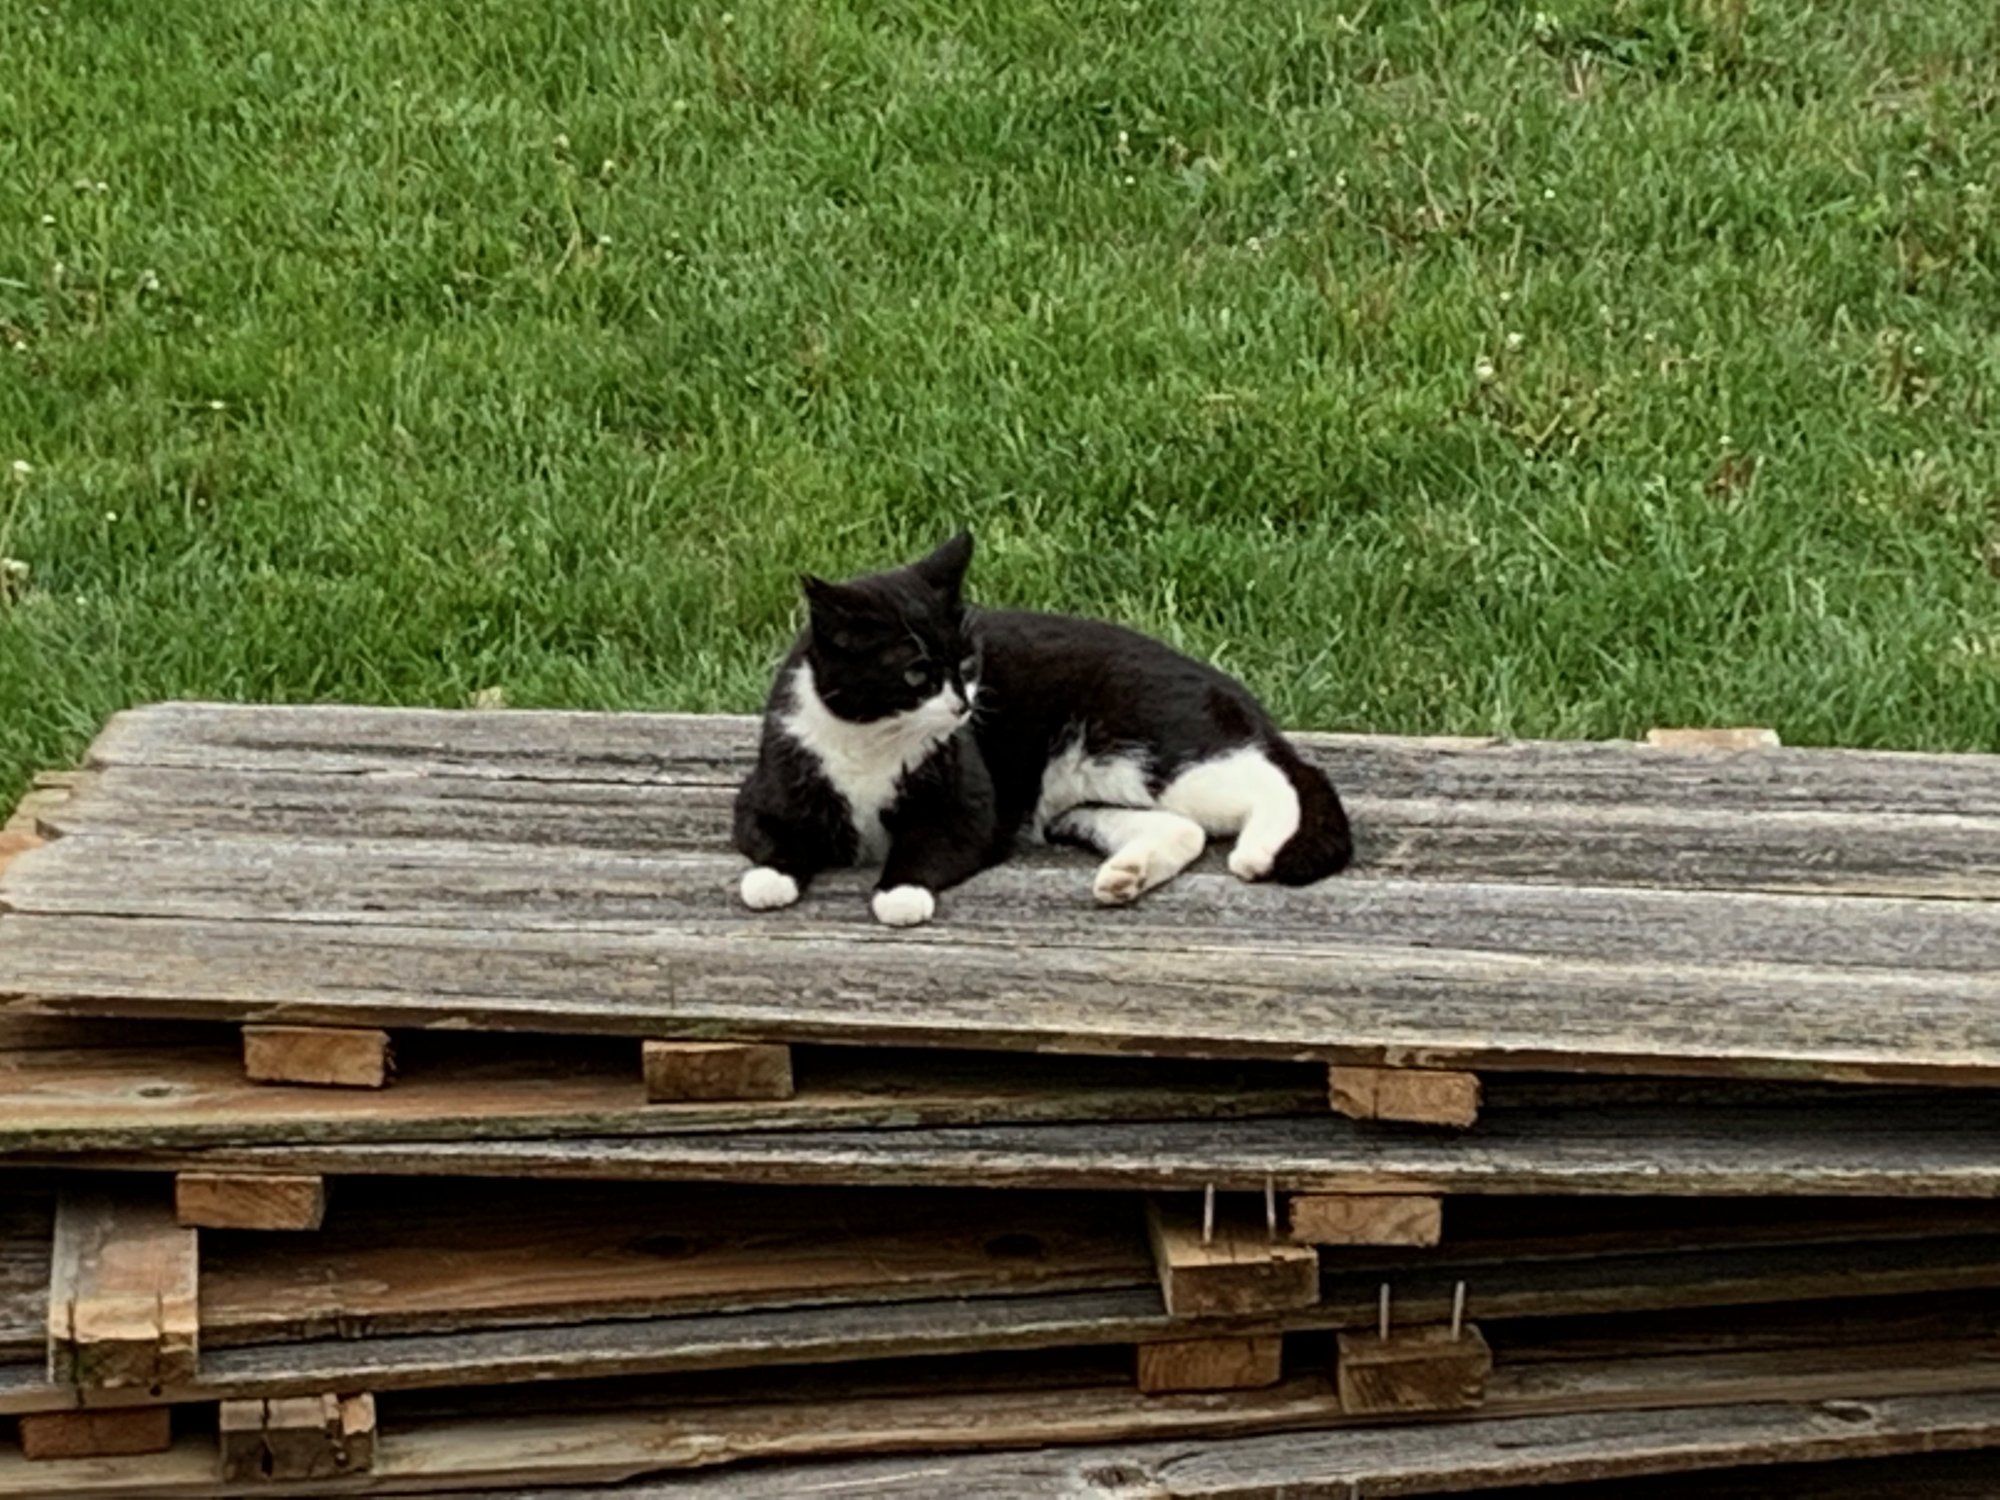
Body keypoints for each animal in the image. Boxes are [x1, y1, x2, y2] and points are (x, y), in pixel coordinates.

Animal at [728, 528, 1352, 928]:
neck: (873, 742)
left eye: (967, 663)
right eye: (915, 673)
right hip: (1084, 792)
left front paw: (900, 894)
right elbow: (773, 839)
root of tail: (1236, 694)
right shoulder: (767, 788)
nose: (963, 707)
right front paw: (769, 881)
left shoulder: (969, 804)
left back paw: (1256, 852)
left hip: (1144, 749)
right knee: (1184, 828)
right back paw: (1125, 875)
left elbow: (929, 845)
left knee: (1280, 779)